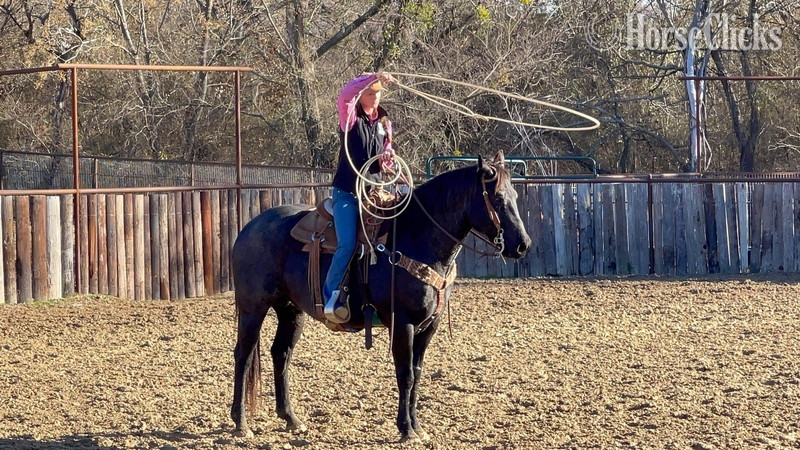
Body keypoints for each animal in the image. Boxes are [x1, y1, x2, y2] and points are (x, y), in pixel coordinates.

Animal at [230, 150, 531, 441]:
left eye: (516, 197)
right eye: (498, 198)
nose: (522, 245)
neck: (417, 237)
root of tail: (248, 228)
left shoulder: (428, 326)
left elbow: (417, 374)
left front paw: (417, 427)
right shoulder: (402, 323)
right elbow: (405, 374)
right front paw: (406, 430)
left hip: (291, 310)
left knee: (281, 353)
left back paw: (291, 419)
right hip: (252, 308)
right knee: (243, 354)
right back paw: (241, 424)